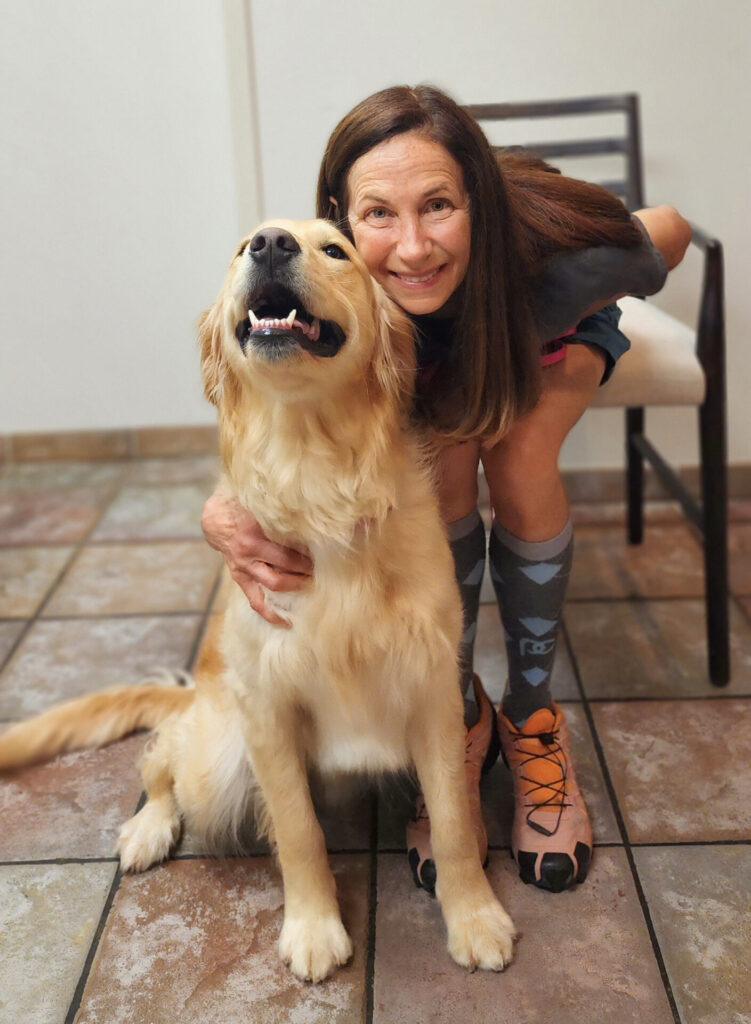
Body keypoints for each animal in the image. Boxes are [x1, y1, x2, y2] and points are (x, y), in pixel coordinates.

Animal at [0, 220, 515, 981]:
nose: (270, 243)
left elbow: (454, 821)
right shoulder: (267, 707)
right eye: (242, 246)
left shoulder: (432, 693)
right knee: (160, 760)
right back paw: (148, 827)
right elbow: (298, 832)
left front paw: (474, 917)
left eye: (336, 250)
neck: (316, 475)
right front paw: (313, 927)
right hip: (217, 757)